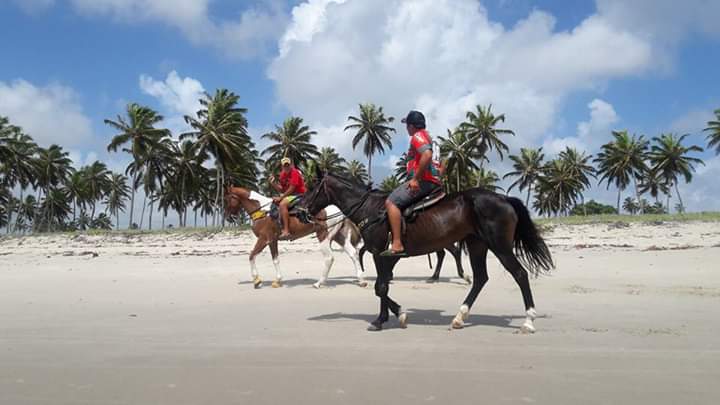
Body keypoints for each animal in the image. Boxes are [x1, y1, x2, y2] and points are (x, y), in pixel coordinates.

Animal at [224, 186, 366, 289]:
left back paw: (319, 283)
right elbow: (275, 260)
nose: (228, 217)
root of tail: (339, 210)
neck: (262, 211)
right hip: (339, 236)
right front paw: (277, 280)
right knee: (353, 253)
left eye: (228, 198)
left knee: (329, 258)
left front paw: (256, 280)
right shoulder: (272, 240)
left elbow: (251, 256)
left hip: (324, 236)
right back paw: (361, 280)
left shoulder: (264, 239)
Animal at [300, 172, 554, 332]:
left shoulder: (380, 253)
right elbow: (382, 286)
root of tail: (503, 197)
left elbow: (380, 287)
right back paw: (459, 317)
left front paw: (383, 319)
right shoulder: (387, 257)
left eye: (313, 189)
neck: (370, 209)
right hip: (477, 245)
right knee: (480, 278)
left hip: (500, 246)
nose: (300, 210)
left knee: (520, 274)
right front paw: (395, 313)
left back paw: (528, 321)